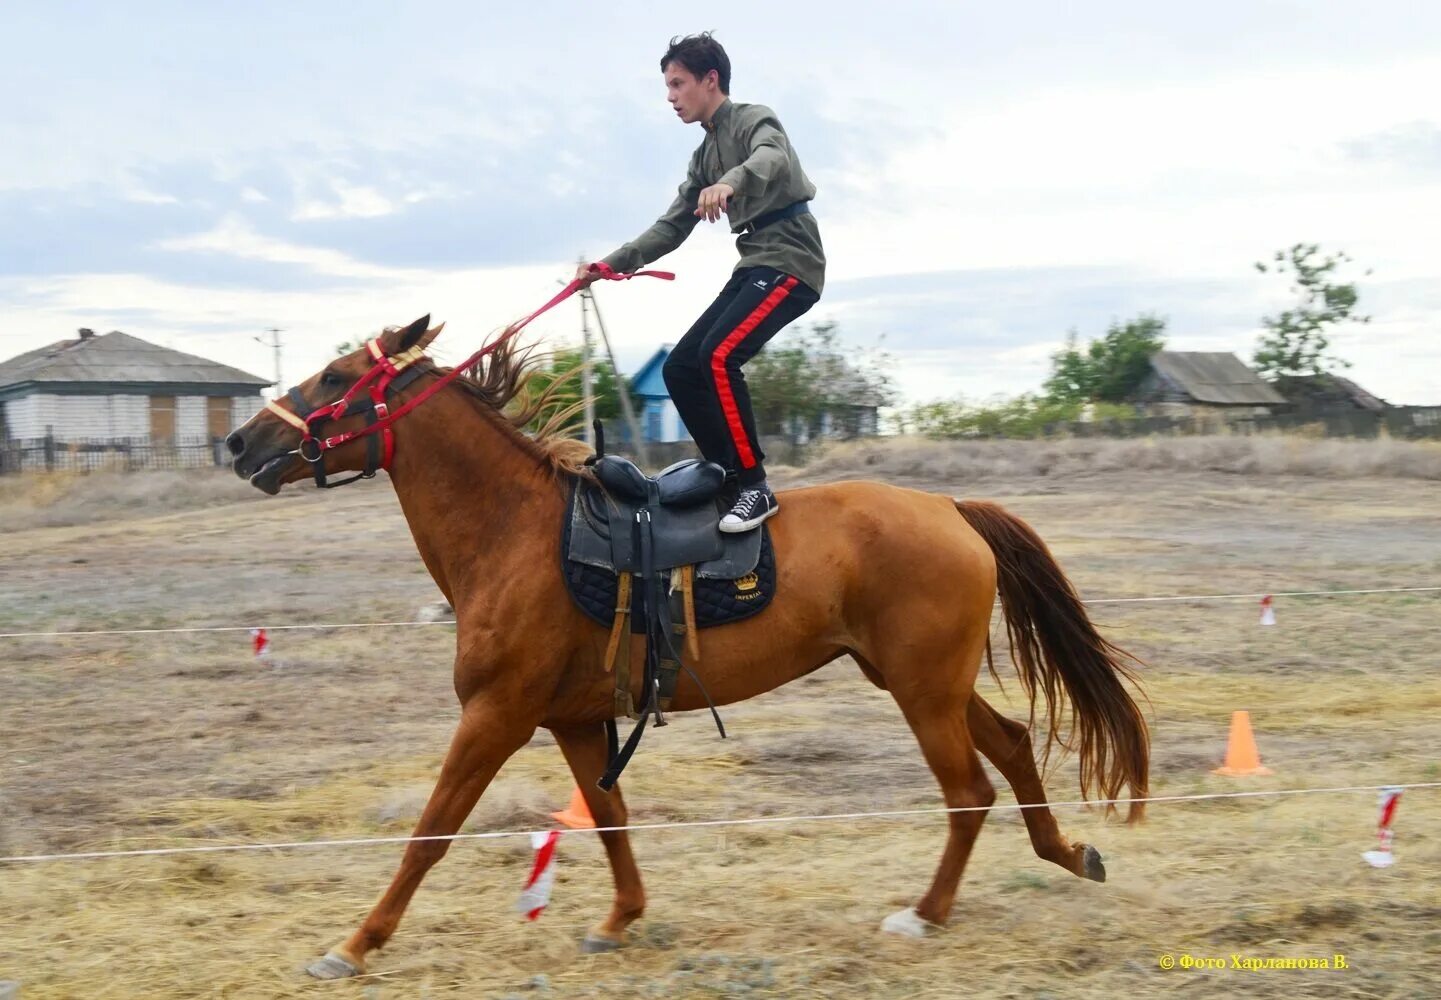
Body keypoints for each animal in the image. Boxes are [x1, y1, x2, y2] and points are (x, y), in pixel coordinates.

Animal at [224, 319, 1147, 979]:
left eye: (336, 377)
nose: (240, 442)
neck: (513, 531)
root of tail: (951, 509)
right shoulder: (571, 720)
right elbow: (609, 818)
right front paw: (619, 919)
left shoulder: (496, 715)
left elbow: (431, 830)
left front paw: (354, 944)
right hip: (919, 682)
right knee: (1015, 747)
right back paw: (1068, 854)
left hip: (923, 692)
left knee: (967, 792)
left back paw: (924, 913)